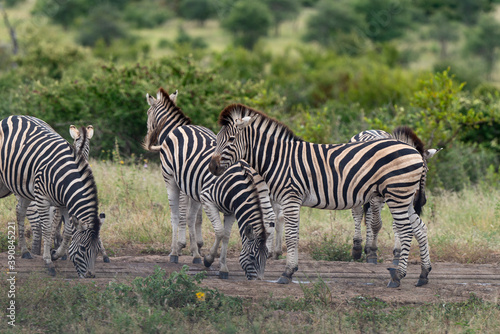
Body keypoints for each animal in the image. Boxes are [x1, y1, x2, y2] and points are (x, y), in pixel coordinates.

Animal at [143, 88, 276, 280]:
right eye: (252, 256)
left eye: (148, 113)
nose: (257, 280)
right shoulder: (201, 194)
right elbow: (206, 225)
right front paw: (203, 255)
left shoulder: (210, 199)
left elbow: (219, 232)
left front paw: (214, 261)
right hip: (171, 180)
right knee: (175, 215)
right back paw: (174, 253)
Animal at [350, 129, 440, 264]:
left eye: (427, 170)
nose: (421, 200)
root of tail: (370, 130)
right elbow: (376, 224)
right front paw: (373, 253)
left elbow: (397, 224)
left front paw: (397, 253)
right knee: (358, 213)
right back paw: (357, 248)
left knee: (369, 215)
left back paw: (366, 248)